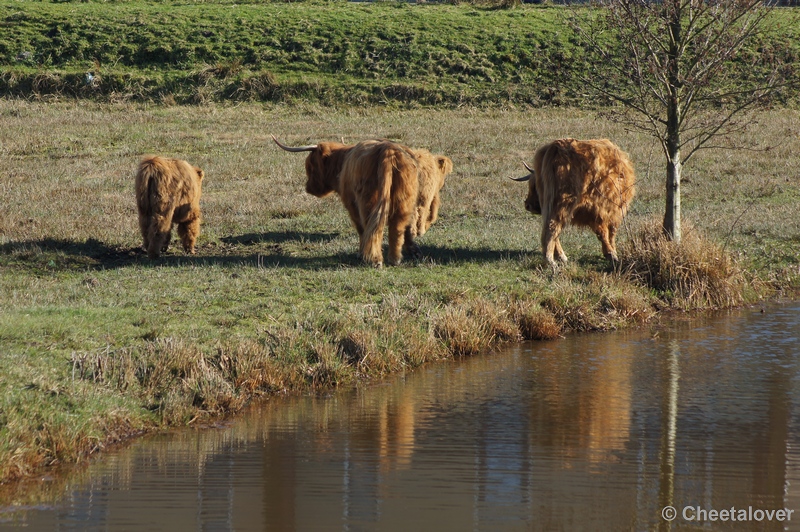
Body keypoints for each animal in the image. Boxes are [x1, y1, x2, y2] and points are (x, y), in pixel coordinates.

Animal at [512, 137, 636, 266]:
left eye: (534, 186)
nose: (528, 205)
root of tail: (556, 146)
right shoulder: (607, 210)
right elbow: (607, 232)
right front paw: (612, 254)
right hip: (563, 202)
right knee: (553, 226)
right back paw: (551, 260)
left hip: (552, 204)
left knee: (550, 226)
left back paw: (559, 256)